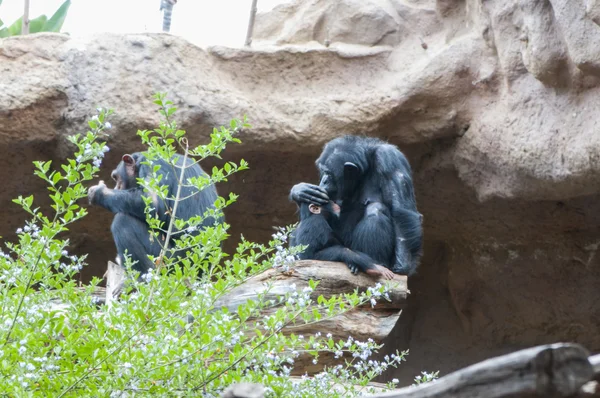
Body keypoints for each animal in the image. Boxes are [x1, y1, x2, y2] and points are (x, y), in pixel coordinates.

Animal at [88, 151, 221, 276]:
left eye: (116, 178)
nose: (116, 187)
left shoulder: (151, 164)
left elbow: (151, 201)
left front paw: (99, 192)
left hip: (172, 259)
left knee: (123, 222)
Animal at [290, 135, 422, 276]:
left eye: (328, 173)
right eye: (323, 171)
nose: (324, 180)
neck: (364, 169)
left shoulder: (390, 159)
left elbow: (400, 208)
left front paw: (403, 264)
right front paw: (300, 191)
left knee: (376, 210)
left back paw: (375, 263)